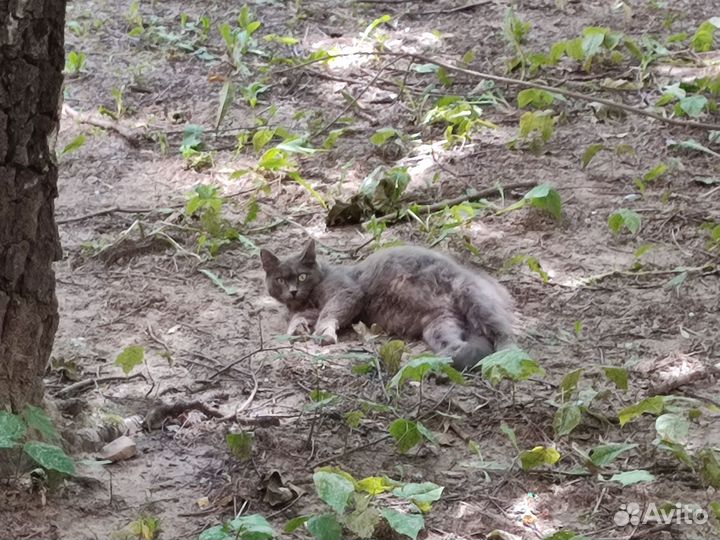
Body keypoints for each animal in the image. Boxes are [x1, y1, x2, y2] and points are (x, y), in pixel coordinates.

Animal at [262, 240, 516, 372]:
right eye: (280, 280)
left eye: (302, 276)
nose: (293, 290)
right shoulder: (311, 308)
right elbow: (301, 316)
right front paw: (296, 329)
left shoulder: (347, 293)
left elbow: (329, 311)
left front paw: (324, 333)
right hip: (439, 324)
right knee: (457, 346)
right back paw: (432, 364)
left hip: (471, 296)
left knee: (506, 334)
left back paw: (505, 357)